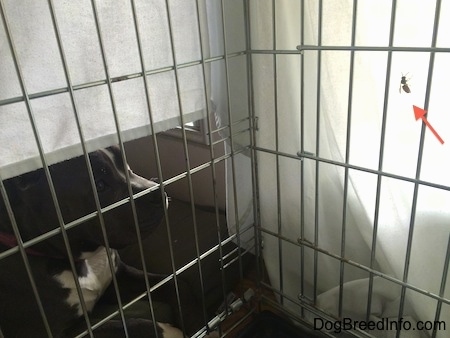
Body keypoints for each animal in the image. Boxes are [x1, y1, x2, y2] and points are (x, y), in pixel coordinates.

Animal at [0, 146, 186, 338]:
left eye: (126, 165)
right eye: (99, 185)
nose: (158, 188)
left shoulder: (119, 277)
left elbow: (173, 283)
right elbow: (121, 325)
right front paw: (168, 331)